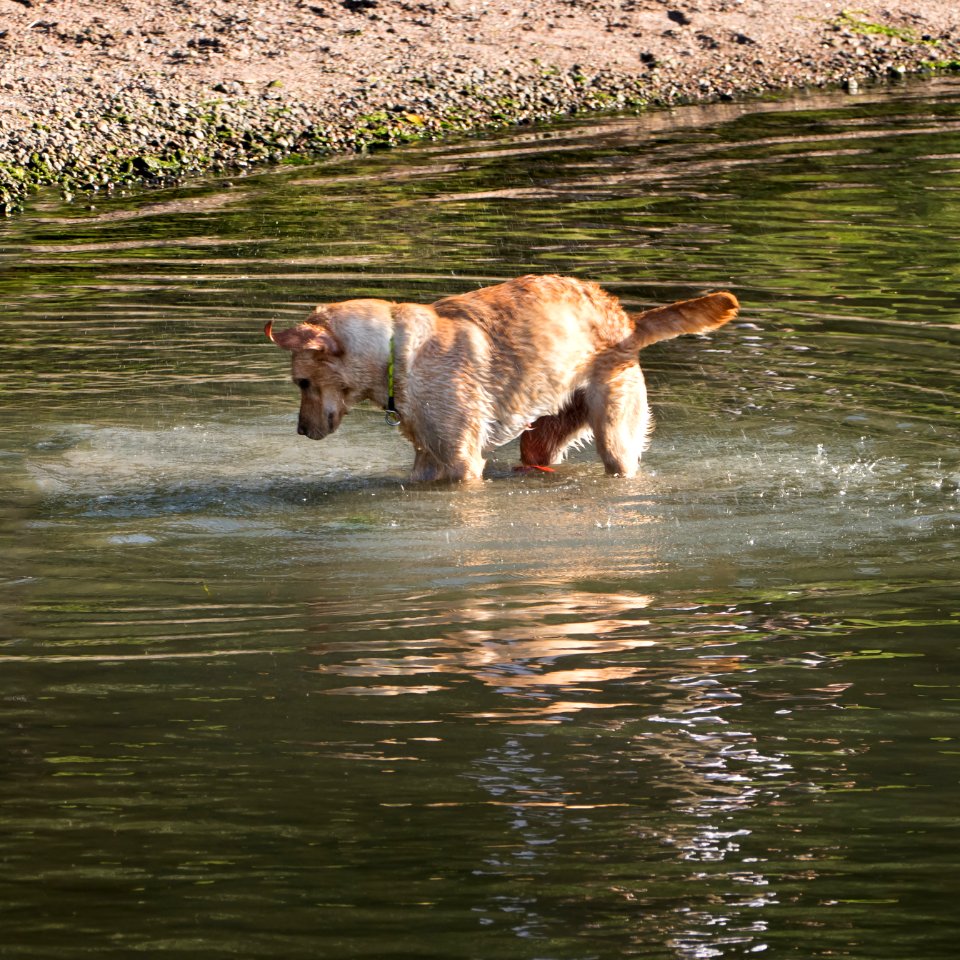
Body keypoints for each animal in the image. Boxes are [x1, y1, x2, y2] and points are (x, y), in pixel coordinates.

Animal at [266, 274, 740, 484]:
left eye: (301, 383)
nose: (300, 431)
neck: (395, 352)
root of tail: (624, 320)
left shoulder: (462, 463)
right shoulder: (425, 458)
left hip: (615, 437)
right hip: (540, 435)